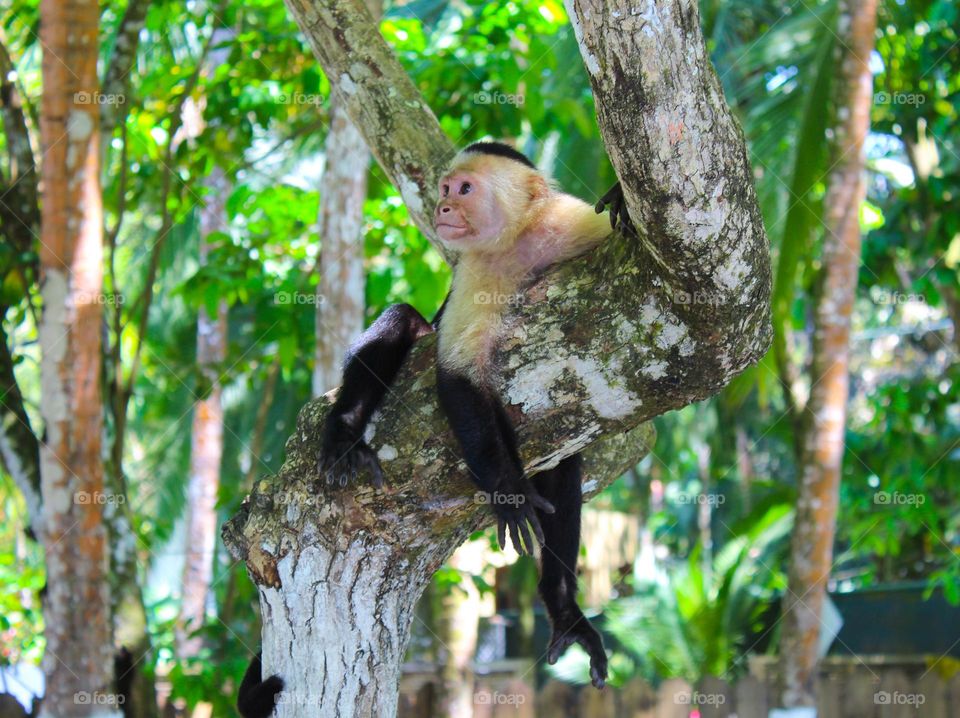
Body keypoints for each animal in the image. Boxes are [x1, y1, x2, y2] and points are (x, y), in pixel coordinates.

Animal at [238, 142, 635, 716]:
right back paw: (345, 430)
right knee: (406, 323)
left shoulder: (569, 224)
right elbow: (458, 376)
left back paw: (562, 605)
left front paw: (623, 198)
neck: (518, 241)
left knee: (564, 465)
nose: (443, 207)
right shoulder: (477, 270)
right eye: (445, 189)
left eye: (464, 190)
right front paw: (508, 490)